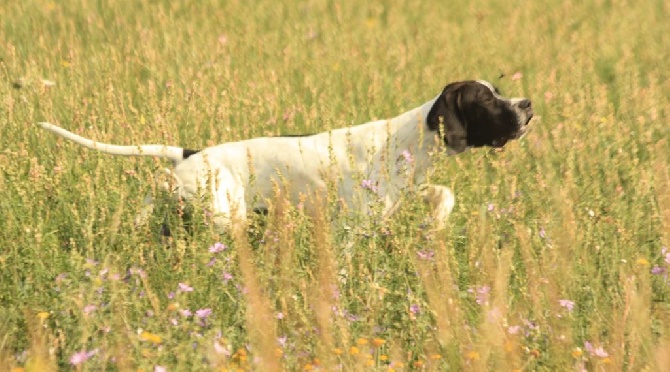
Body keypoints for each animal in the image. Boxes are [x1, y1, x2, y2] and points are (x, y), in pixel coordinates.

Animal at [39, 80, 536, 232]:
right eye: (486, 100)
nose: (527, 105)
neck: (409, 141)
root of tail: (190, 154)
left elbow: (443, 194)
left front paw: (436, 223)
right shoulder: (351, 228)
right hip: (227, 219)